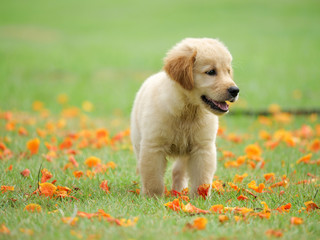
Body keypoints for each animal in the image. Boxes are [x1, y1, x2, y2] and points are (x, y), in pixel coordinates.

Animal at [130, 38, 238, 197]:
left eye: (228, 71)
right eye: (211, 72)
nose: (235, 90)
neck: (187, 112)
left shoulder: (202, 147)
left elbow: (202, 178)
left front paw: (200, 198)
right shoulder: (153, 147)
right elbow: (153, 178)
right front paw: (152, 198)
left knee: (178, 171)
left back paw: (179, 191)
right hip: (138, 141)